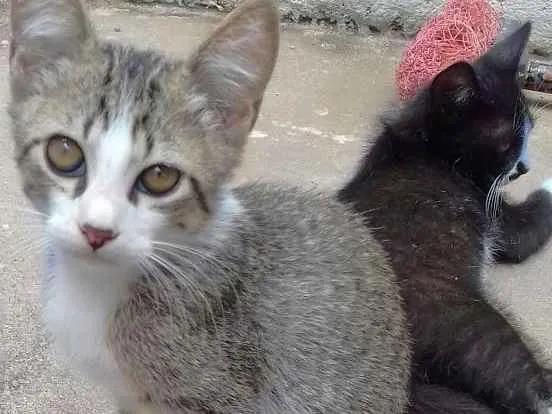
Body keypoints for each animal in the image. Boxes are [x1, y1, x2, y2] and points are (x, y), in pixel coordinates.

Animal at [338, 22, 552, 414]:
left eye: (529, 128)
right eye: (508, 141)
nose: (525, 167)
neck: (426, 147)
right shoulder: (495, 212)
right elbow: (528, 228)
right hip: (465, 326)